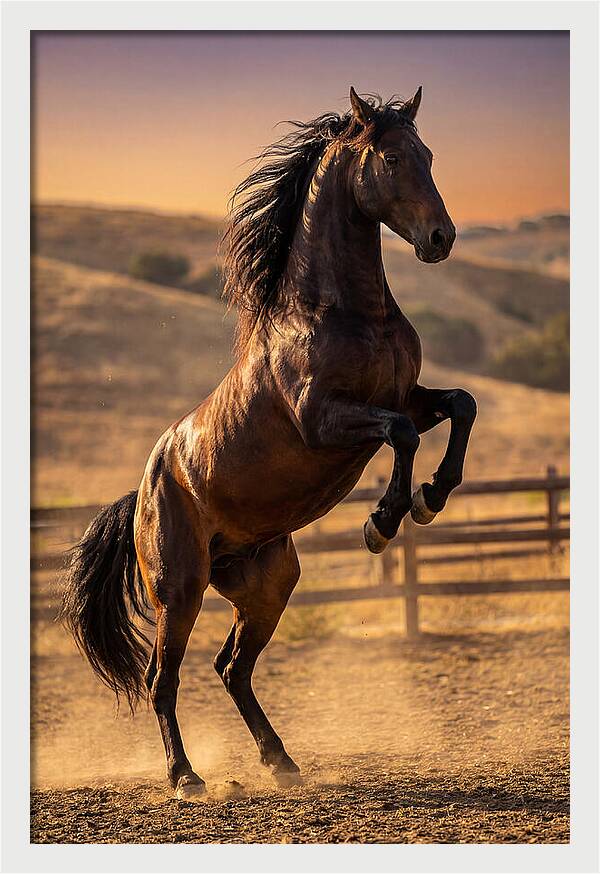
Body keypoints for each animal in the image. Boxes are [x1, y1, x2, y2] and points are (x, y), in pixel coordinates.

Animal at [61, 87, 477, 799]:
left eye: (428, 154)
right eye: (392, 158)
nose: (440, 238)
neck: (343, 313)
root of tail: (143, 490)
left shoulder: (406, 397)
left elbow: (460, 406)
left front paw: (431, 497)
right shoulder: (324, 419)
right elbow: (398, 437)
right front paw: (382, 521)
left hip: (267, 582)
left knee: (232, 668)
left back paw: (280, 761)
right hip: (181, 588)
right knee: (163, 678)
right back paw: (186, 778)